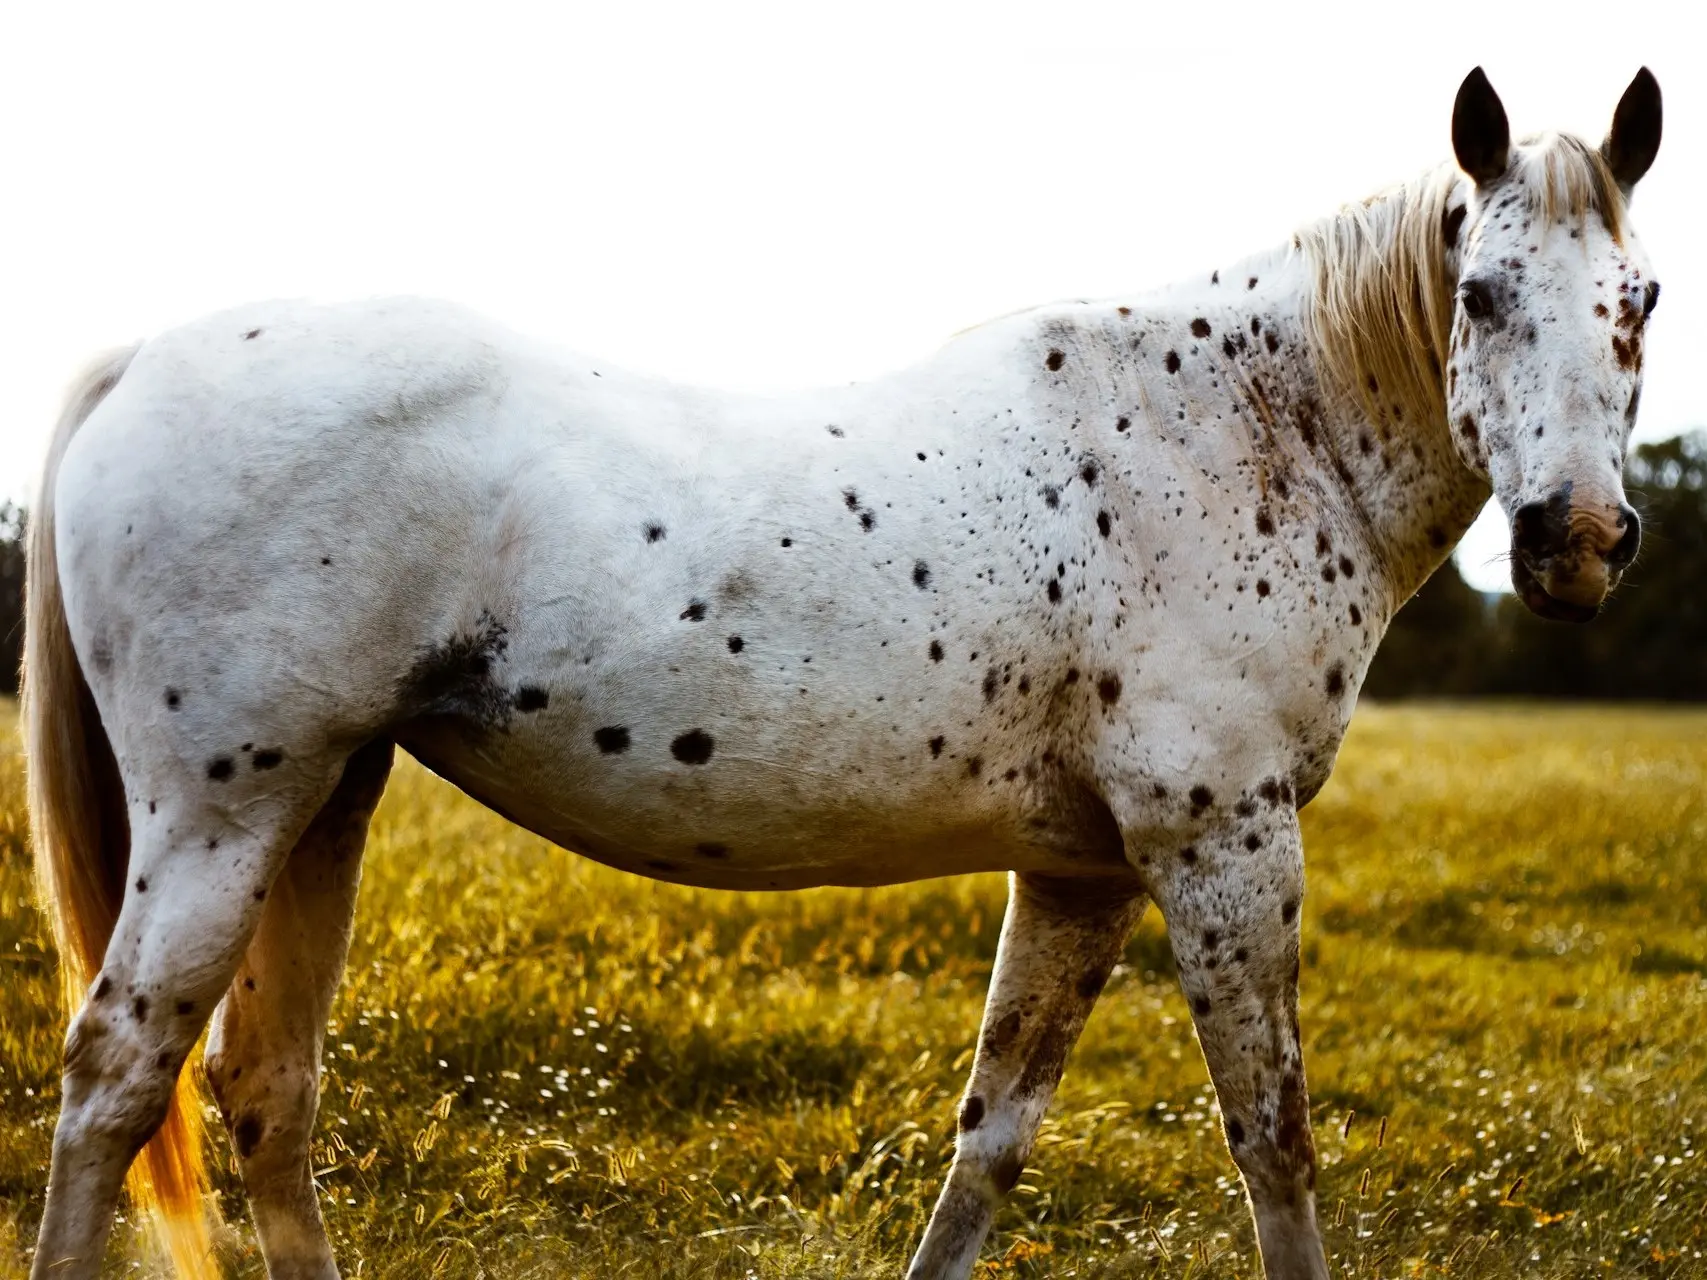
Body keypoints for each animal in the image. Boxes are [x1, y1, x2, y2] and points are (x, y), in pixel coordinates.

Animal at [20, 72, 1659, 1280]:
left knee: (264, 1094)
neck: (1250, 427)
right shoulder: (1221, 843)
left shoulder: (1084, 872)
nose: (1575, 542)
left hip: (324, 805)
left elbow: (991, 1133)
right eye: (1483, 293)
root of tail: (137, 357)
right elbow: (1273, 1138)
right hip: (226, 816)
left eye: (1637, 300)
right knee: (117, 1076)